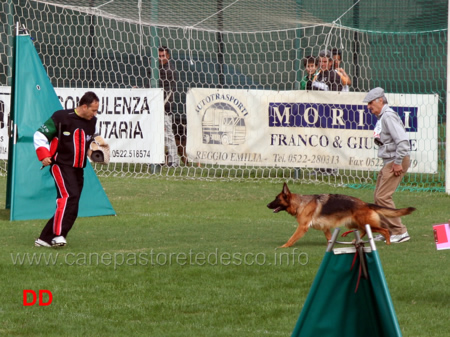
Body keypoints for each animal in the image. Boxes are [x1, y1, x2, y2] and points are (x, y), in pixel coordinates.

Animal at [266, 184, 416, 247]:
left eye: (276, 199)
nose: (267, 205)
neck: (300, 203)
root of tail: (365, 204)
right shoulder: (325, 227)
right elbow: (329, 238)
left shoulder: (302, 227)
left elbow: (292, 238)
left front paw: (284, 247)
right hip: (353, 223)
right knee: (363, 231)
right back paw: (355, 240)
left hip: (365, 223)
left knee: (384, 230)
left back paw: (389, 243)